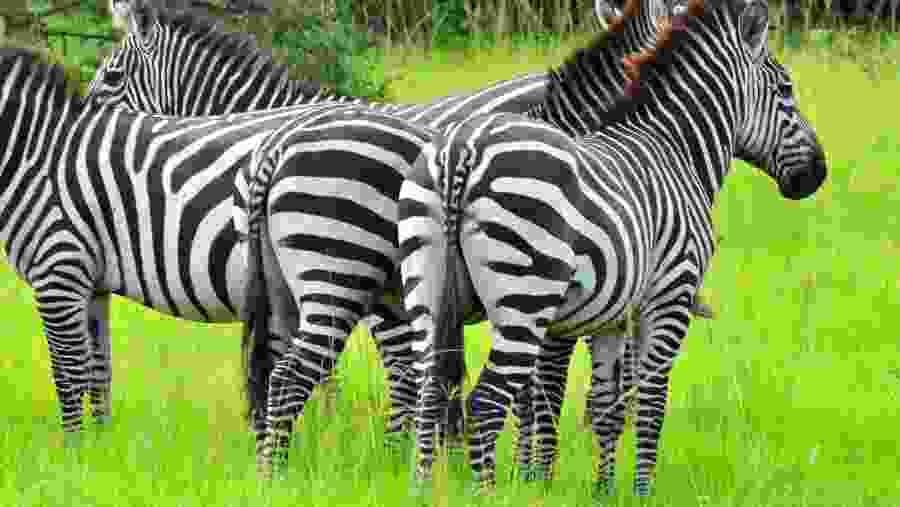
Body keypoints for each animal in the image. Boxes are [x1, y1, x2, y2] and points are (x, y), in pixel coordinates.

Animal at [398, 0, 826, 496]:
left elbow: (605, 405)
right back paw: (486, 494)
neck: (674, 149)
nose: (819, 173)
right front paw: (630, 490)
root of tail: (459, 152)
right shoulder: (668, 297)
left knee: (431, 393)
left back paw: (421, 488)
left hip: (428, 291)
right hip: (525, 298)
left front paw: (599, 489)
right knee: (485, 402)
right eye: (786, 89)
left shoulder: (611, 316)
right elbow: (647, 401)